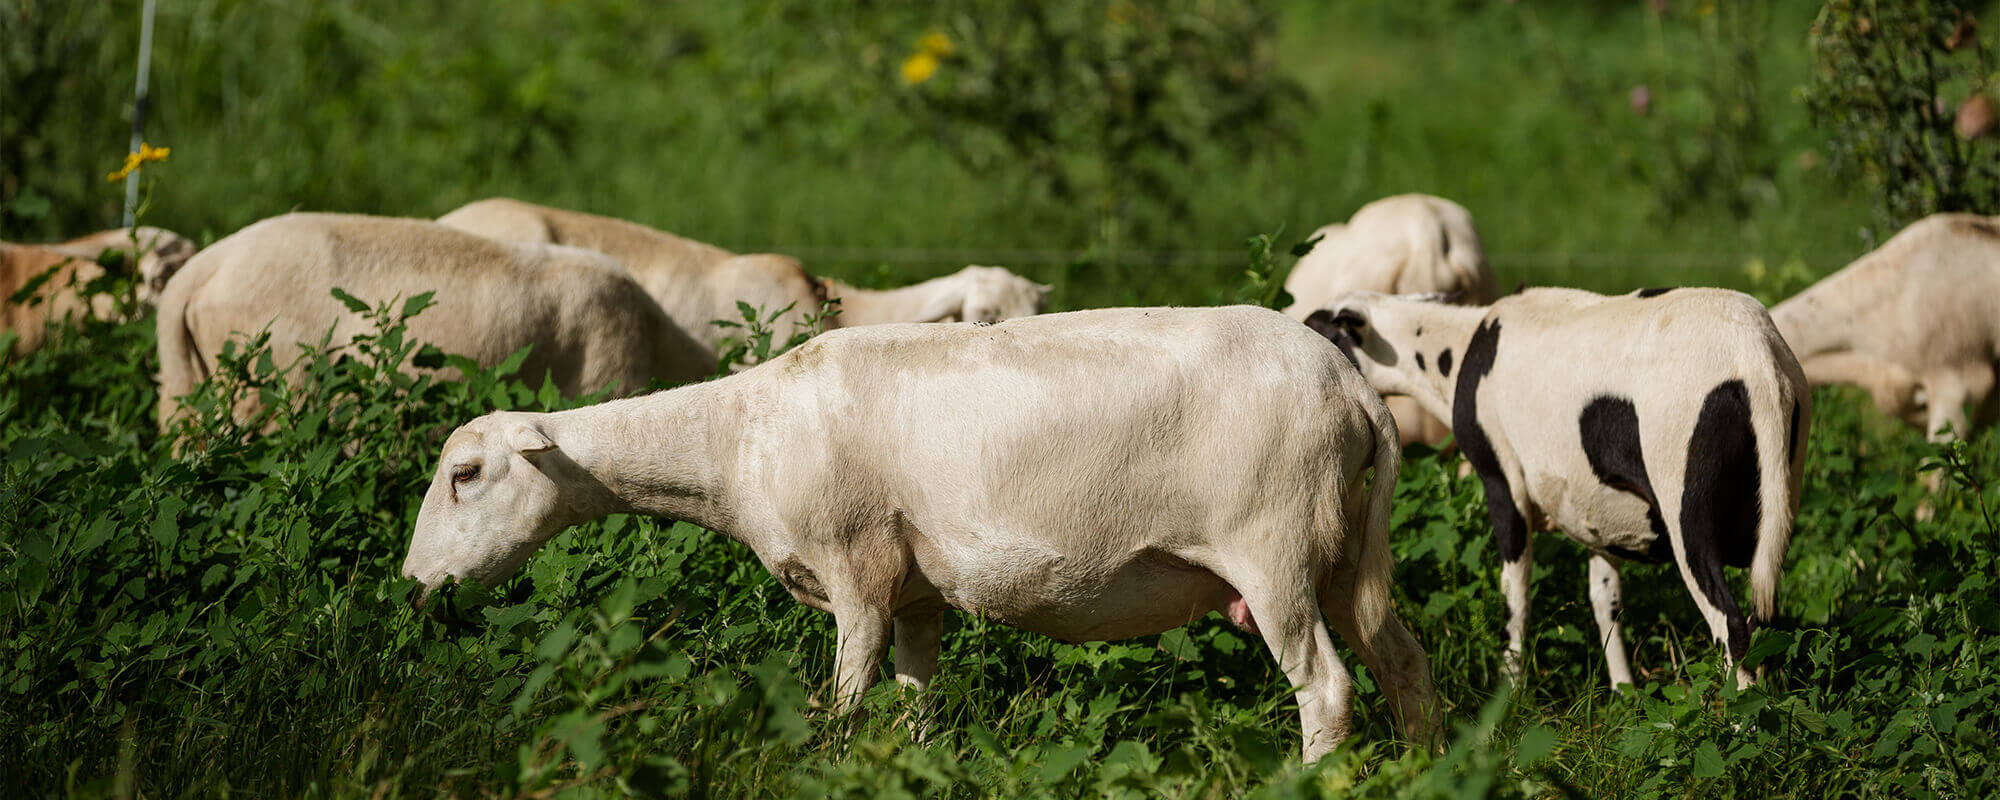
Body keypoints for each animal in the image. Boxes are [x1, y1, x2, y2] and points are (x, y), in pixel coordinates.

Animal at [402, 304, 1440, 764]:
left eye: (466, 475)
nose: (415, 587)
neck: (735, 440)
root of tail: (1353, 389)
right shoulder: (914, 592)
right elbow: (913, 706)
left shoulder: (854, 569)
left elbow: (842, 704)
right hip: (1344, 545)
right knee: (1404, 663)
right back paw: (1431, 765)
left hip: (1274, 547)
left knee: (1329, 688)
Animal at [1304, 288, 1808, 688]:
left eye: (1318, 329)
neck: (1461, 348)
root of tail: (1756, 360)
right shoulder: (1598, 511)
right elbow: (1605, 600)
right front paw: (1623, 693)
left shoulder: (1503, 485)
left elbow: (1515, 596)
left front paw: (1509, 691)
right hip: (1775, 509)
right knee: (1766, 623)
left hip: (1688, 515)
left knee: (1731, 627)